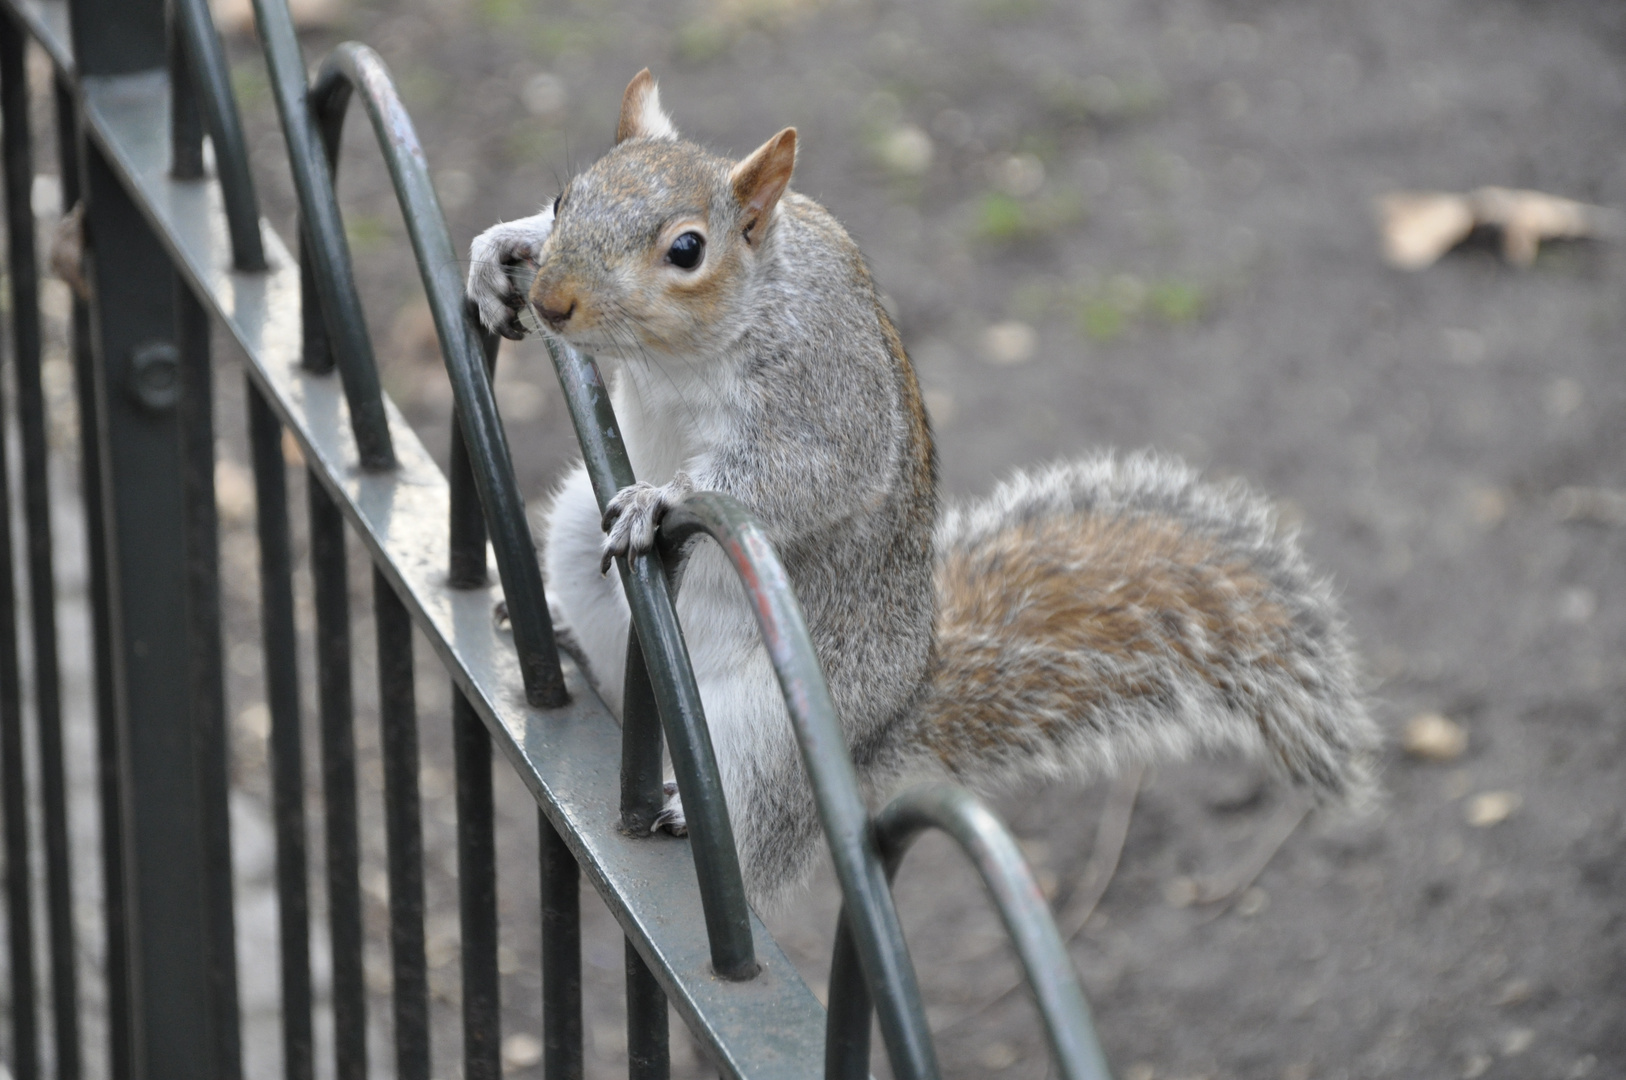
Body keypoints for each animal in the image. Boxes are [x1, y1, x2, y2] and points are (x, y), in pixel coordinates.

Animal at [465, 71, 1378, 904]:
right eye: (564, 198)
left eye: (686, 250)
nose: (553, 300)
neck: (690, 347)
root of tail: (887, 726)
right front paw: (498, 249)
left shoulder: (829, 392)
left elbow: (806, 475)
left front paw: (662, 496)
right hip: (579, 535)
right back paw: (569, 637)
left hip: (775, 731)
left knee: (753, 845)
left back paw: (691, 822)